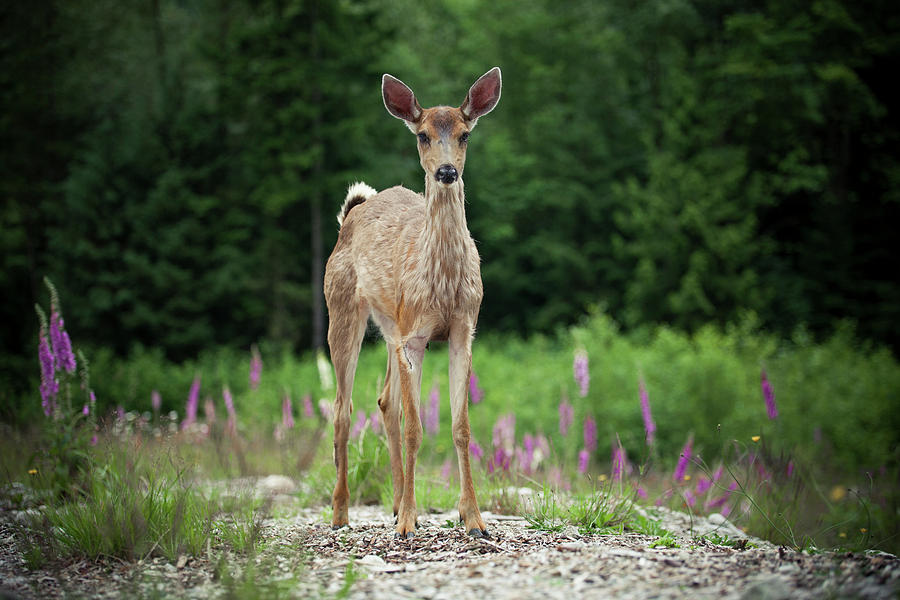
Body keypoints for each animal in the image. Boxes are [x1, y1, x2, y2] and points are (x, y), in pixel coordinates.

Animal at [324, 67, 502, 540]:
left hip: (389, 325)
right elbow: (415, 428)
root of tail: (353, 212)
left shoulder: (462, 329)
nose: (446, 171)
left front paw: (473, 519)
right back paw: (342, 513)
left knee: (384, 402)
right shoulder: (415, 335)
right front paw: (406, 524)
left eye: (464, 134)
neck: (442, 281)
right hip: (341, 309)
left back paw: (399, 505)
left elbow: (460, 426)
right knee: (343, 409)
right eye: (422, 135)